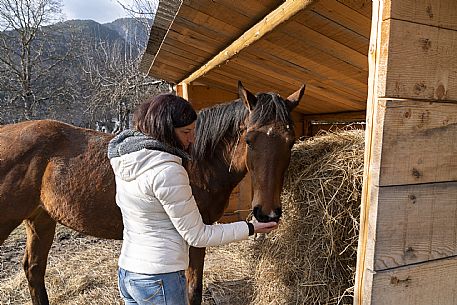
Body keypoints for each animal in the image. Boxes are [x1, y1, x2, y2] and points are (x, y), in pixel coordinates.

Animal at [0, 81, 306, 304]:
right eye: (249, 139)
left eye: (290, 140)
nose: (267, 213)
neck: (196, 160)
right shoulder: (195, 235)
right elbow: (193, 289)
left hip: (40, 220)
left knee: (34, 271)